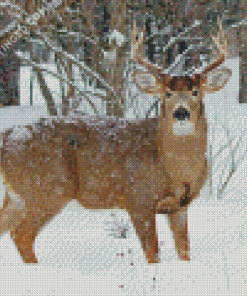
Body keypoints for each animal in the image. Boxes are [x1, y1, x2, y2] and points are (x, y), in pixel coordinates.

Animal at [0, 18, 232, 264]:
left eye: (195, 91)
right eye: (167, 93)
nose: (181, 113)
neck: (175, 171)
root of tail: (7, 136)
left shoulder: (180, 206)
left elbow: (185, 252)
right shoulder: (138, 198)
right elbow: (153, 253)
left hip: (18, 195)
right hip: (47, 188)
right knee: (21, 234)